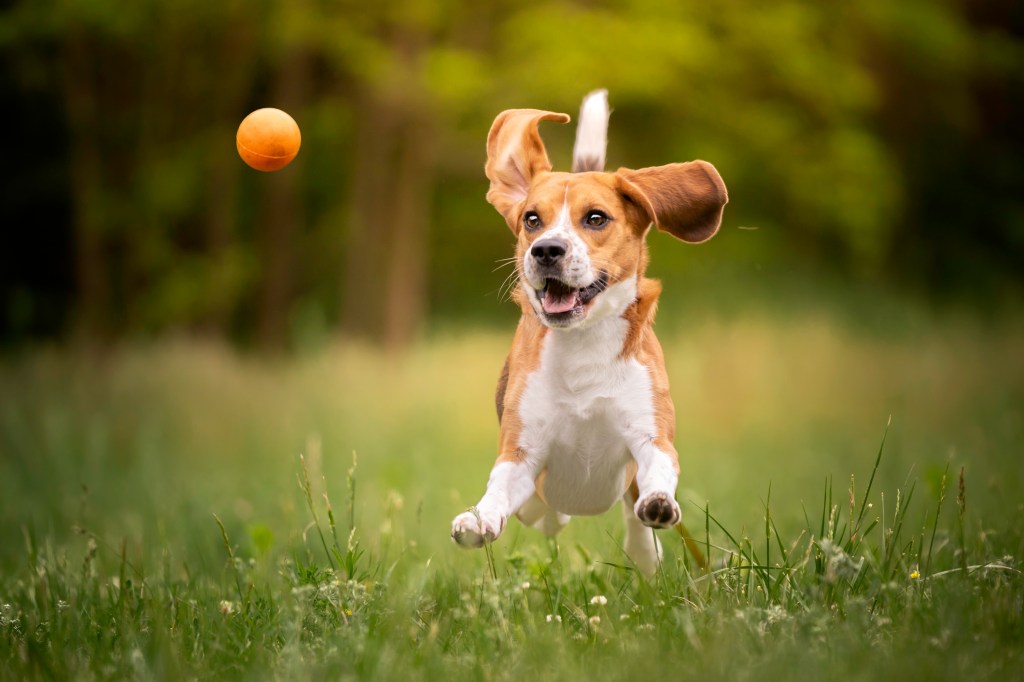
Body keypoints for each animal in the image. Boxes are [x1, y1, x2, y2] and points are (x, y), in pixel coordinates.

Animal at [450, 87, 729, 569]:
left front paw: (660, 503)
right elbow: (500, 489)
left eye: (596, 218)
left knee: (634, 522)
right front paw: (479, 518)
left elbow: (658, 470)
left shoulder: (650, 435)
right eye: (532, 219)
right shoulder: (521, 452)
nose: (546, 250)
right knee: (545, 514)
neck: (583, 346)